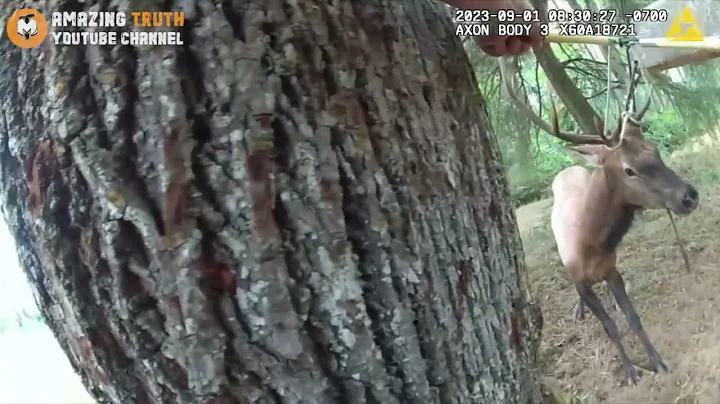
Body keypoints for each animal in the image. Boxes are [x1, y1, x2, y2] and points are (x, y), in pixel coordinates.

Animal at [500, 59, 700, 385]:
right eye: (629, 170)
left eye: (655, 149)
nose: (689, 196)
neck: (592, 244)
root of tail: (567, 169)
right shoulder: (580, 280)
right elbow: (609, 327)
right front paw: (631, 372)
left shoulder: (611, 269)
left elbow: (632, 317)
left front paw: (656, 360)